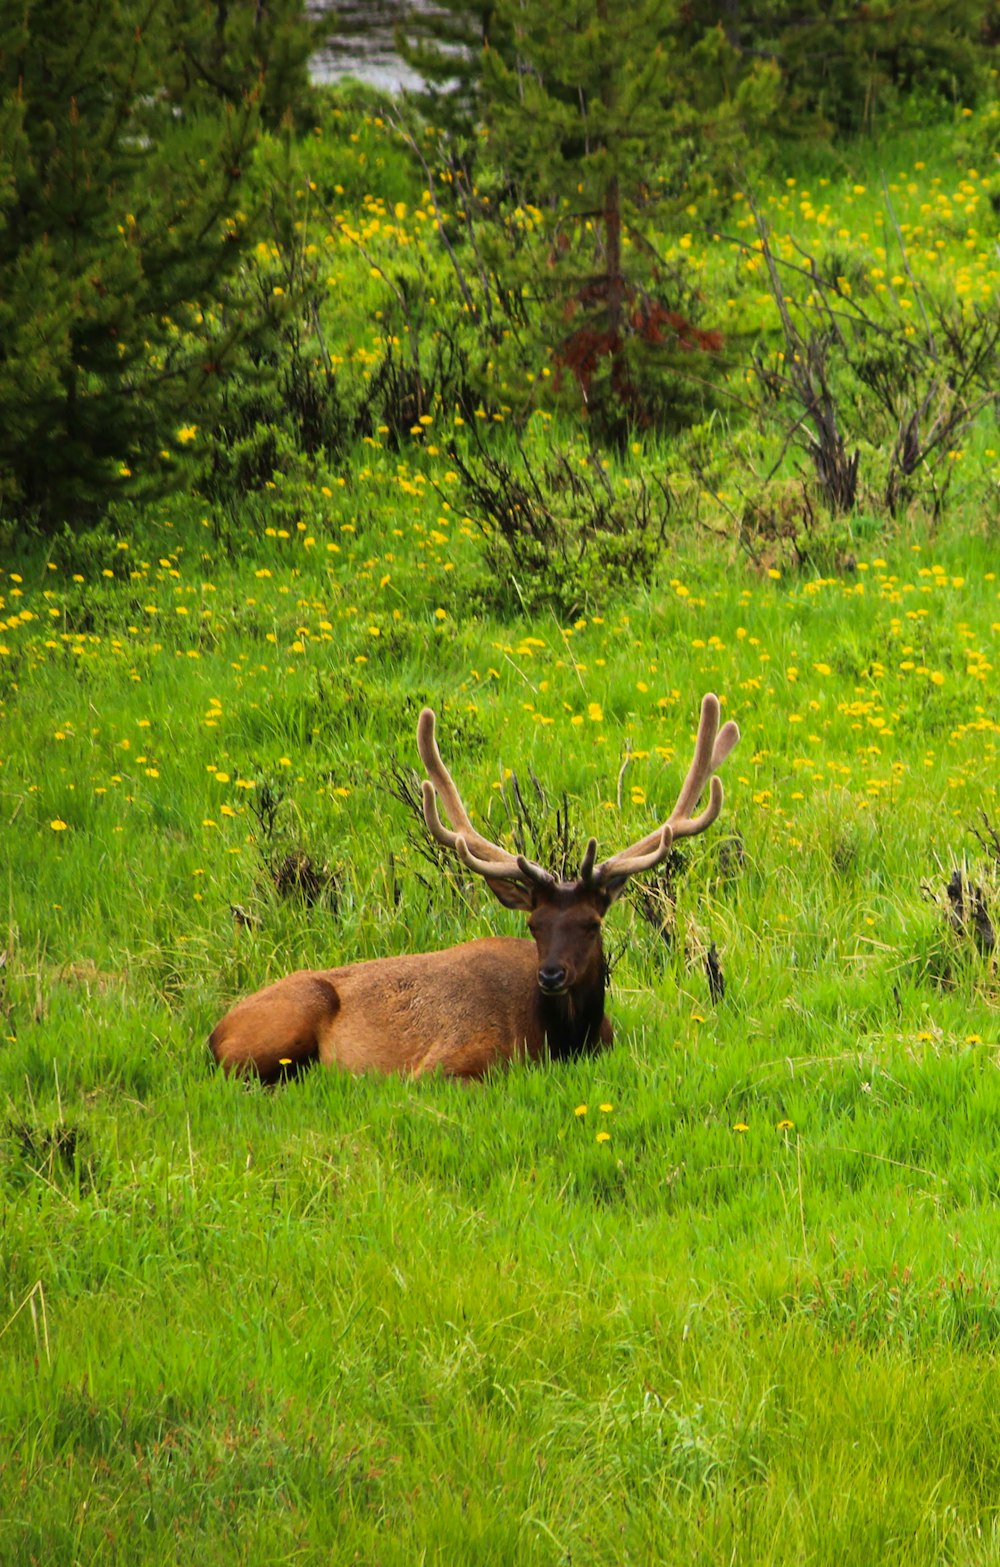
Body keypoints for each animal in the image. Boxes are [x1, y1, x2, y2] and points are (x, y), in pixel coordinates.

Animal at [211, 692, 739, 1084]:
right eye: (534, 924)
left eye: (591, 923)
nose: (550, 974)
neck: (564, 1041)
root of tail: (215, 1033)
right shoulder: (445, 1063)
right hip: (287, 1022)